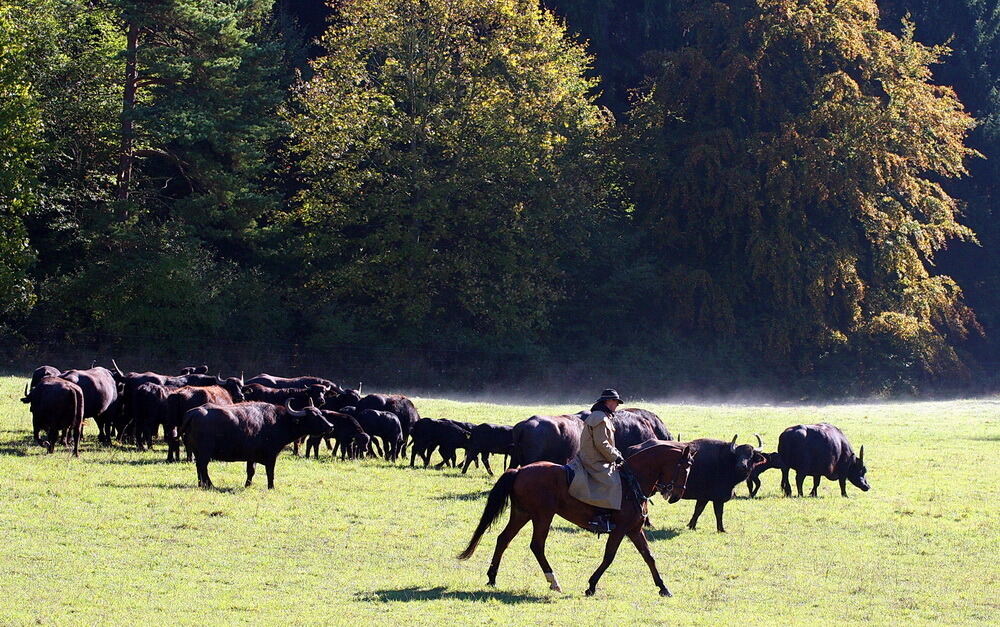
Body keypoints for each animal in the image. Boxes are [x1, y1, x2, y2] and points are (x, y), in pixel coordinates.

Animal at [184, 402, 332, 490]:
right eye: (313, 416)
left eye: (320, 413)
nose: (330, 426)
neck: (278, 421)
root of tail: (194, 412)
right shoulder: (271, 455)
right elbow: (270, 472)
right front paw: (271, 487)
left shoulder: (251, 457)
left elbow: (251, 471)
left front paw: (247, 485)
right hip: (205, 452)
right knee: (203, 467)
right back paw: (210, 485)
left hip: (197, 452)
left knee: (199, 467)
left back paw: (201, 484)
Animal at [458, 442, 692, 600]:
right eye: (685, 468)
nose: (676, 496)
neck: (631, 482)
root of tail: (520, 470)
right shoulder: (620, 530)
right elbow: (609, 557)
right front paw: (591, 585)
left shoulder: (634, 530)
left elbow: (649, 557)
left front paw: (663, 587)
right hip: (543, 516)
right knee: (537, 545)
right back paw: (553, 581)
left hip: (522, 514)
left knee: (503, 539)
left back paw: (492, 577)